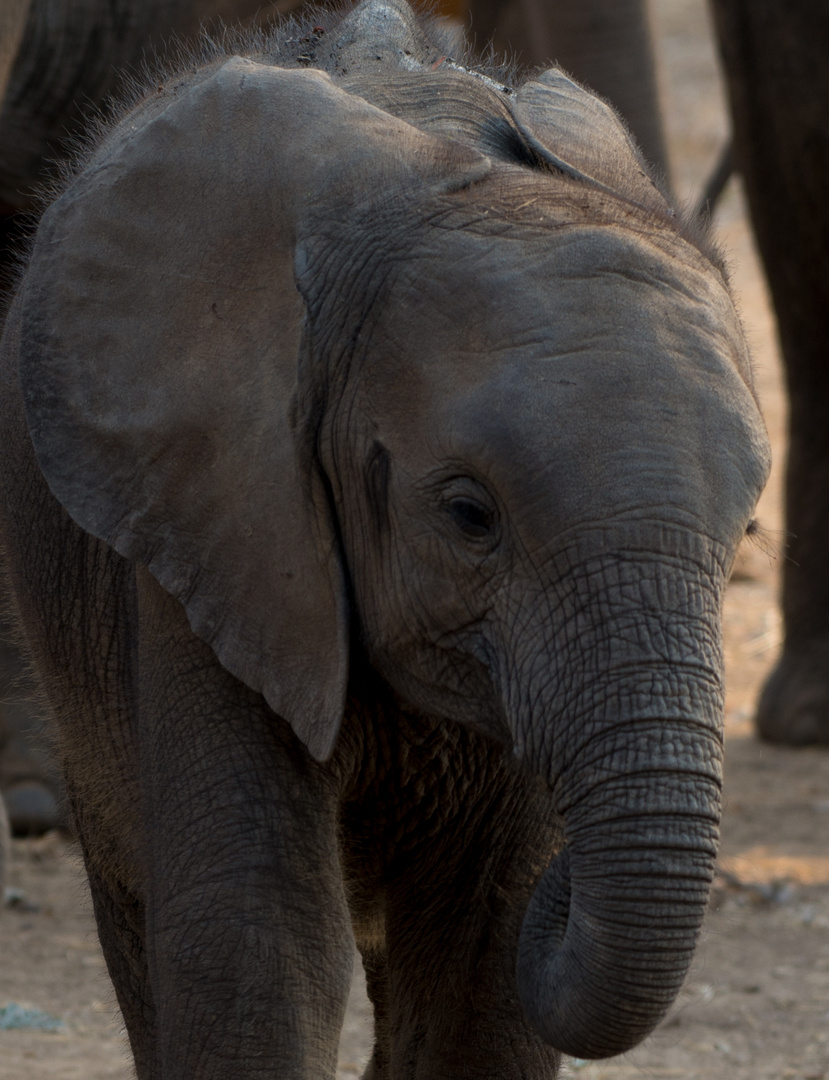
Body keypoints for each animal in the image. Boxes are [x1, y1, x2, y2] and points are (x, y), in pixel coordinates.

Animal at [0, 2, 768, 1080]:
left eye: (743, 526)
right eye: (469, 515)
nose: (568, 872)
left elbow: (479, 970)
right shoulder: (216, 515)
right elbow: (262, 945)